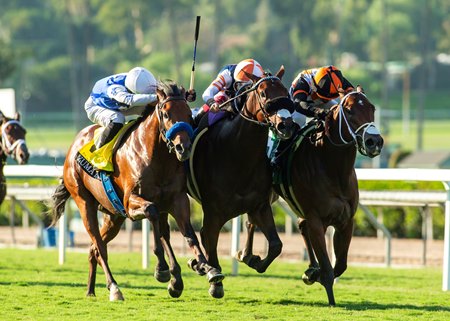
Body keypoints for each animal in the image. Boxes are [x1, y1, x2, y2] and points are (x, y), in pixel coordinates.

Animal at [50, 80, 221, 300]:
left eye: (189, 115)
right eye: (166, 114)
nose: (183, 148)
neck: (155, 157)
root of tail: (73, 147)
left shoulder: (177, 199)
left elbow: (187, 233)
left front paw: (205, 267)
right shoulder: (131, 202)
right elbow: (152, 214)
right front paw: (162, 270)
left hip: (113, 215)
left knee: (94, 249)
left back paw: (90, 290)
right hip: (84, 202)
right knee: (100, 247)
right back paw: (114, 288)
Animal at [186, 65, 296, 298]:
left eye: (285, 92)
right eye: (262, 93)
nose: (286, 125)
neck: (238, 153)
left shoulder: (260, 205)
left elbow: (276, 245)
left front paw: (253, 260)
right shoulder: (213, 212)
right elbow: (209, 239)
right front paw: (215, 280)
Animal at [239, 85, 384, 304]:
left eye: (372, 108)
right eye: (349, 110)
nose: (374, 141)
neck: (333, 169)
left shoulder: (346, 221)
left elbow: (340, 265)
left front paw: (313, 273)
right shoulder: (317, 219)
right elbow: (328, 268)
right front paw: (328, 294)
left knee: (299, 225)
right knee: (252, 221)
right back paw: (247, 256)